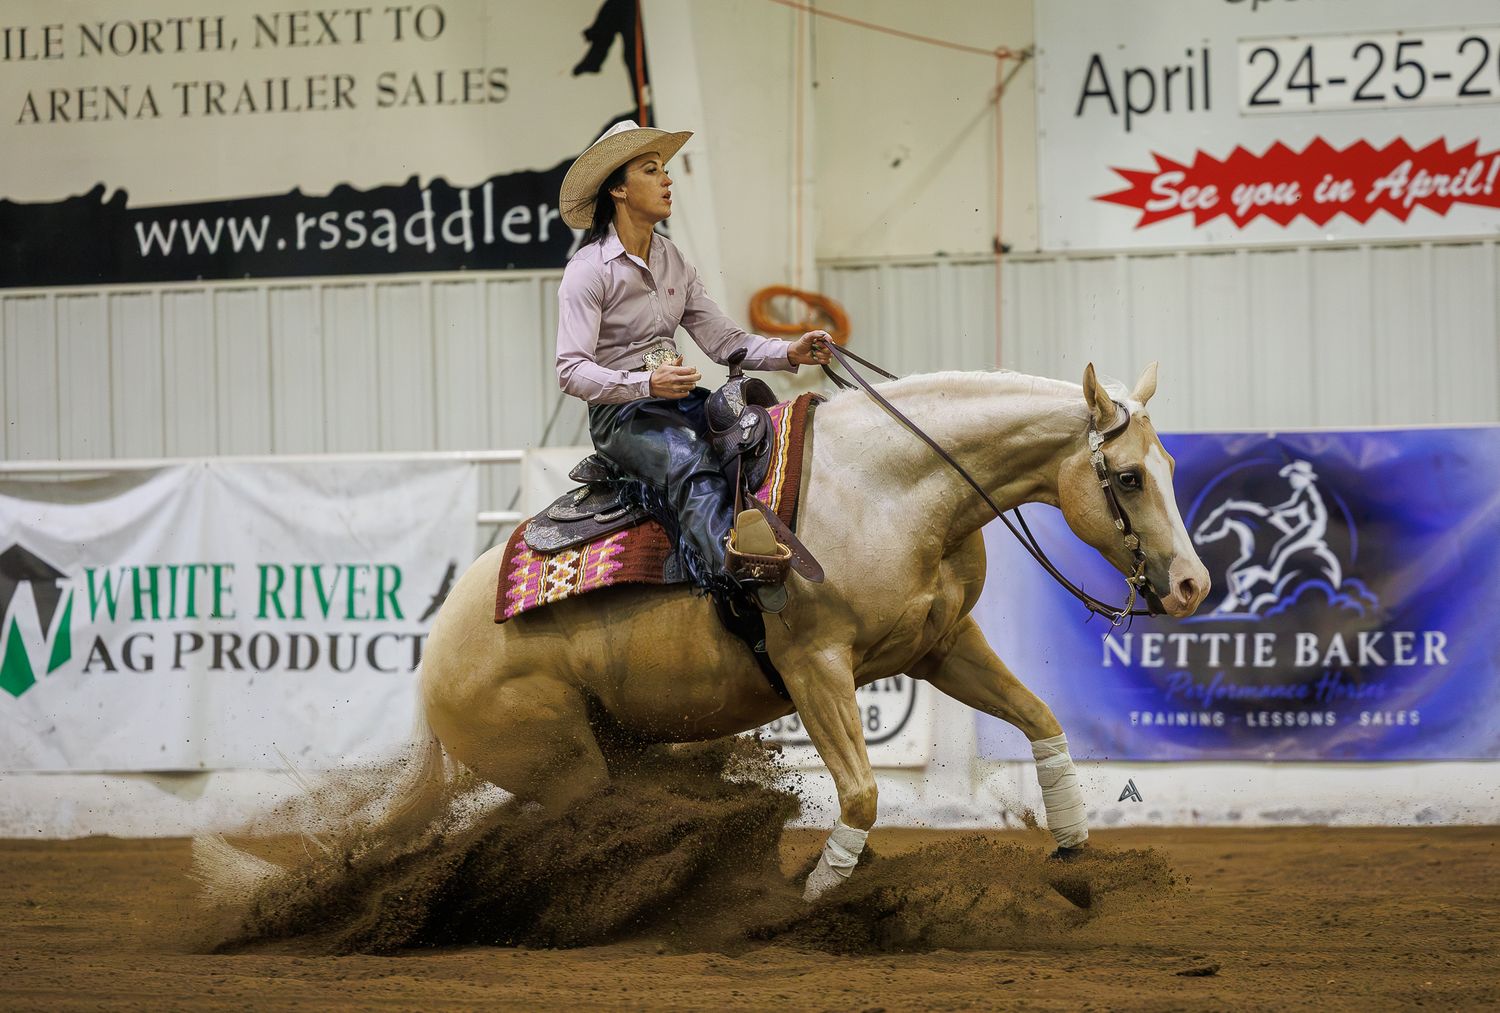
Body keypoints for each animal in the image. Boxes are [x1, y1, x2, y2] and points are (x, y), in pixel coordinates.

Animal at [413, 362, 1210, 899]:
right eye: (1130, 477)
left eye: (1171, 463)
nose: (1192, 584)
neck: (887, 489)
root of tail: (437, 654)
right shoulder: (815, 665)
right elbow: (861, 793)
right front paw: (822, 895)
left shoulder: (943, 646)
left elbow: (1042, 720)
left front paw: (1073, 845)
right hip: (567, 766)